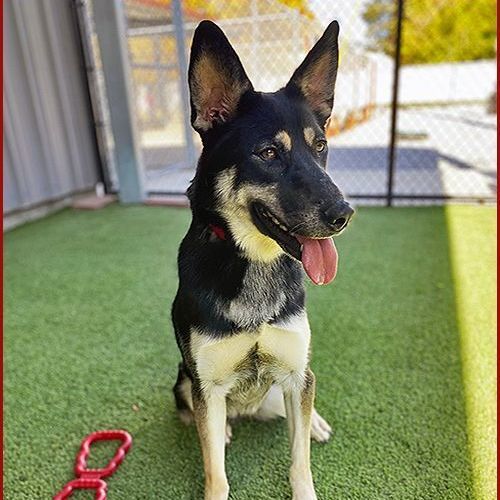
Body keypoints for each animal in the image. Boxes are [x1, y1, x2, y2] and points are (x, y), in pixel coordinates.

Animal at [174, 20, 354, 500]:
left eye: (321, 146)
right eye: (269, 153)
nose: (344, 214)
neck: (254, 261)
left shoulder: (293, 374)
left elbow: (300, 461)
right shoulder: (207, 385)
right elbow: (215, 472)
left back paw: (315, 422)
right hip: (182, 381)